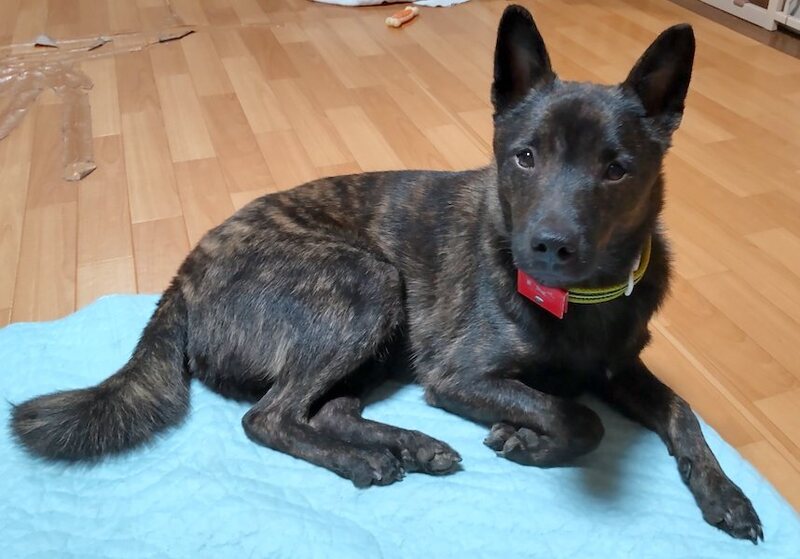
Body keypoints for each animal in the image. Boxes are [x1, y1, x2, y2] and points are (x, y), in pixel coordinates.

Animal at [11, 5, 762, 543]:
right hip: (366, 285)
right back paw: (365, 459)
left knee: (328, 409)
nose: (548, 247)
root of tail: (185, 276)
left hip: (379, 335)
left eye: (617, 169)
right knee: (269, 416)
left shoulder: (619, 368)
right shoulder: (460, 376)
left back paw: (410, 445)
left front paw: (726, 493)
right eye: (524, 157)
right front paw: (527, 438)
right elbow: (576, 417)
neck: (578, 301)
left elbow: (682, 413)